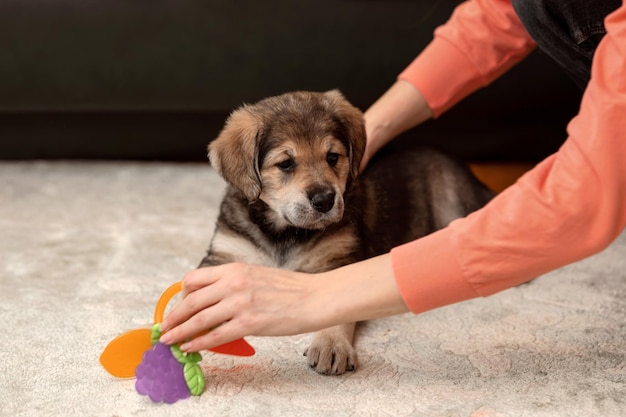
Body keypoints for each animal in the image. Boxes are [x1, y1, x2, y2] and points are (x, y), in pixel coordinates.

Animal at [200, 89, 492, 376]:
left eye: (332, 157)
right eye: (285, 164)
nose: (324, 200)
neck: (284, 232)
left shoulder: (339, 260)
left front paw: (331, 345)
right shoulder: (224, 254)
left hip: (453, 200)